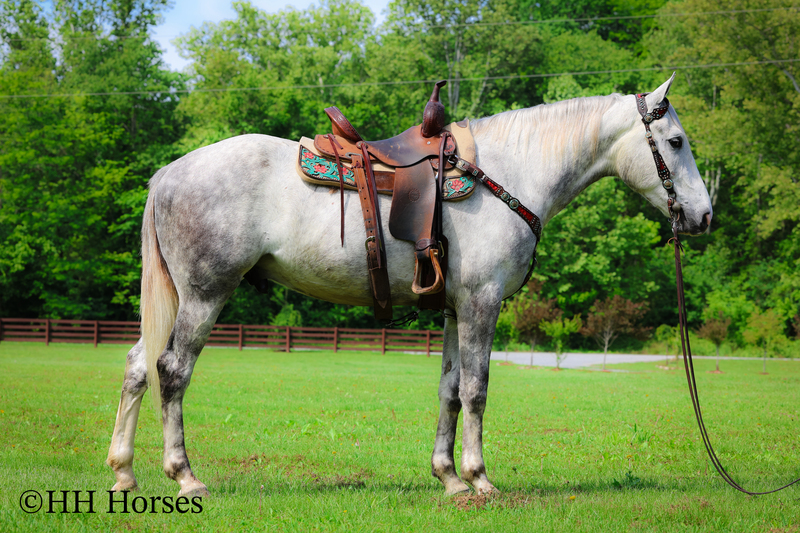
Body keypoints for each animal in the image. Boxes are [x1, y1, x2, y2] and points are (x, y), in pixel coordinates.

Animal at [106, 74, 712, 497]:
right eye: (676, 141)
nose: (704, 216)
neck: (507, 175)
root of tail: (169, 173)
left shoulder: (453, 308)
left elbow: (449, 389)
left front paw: (449, 478)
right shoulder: (481, 303)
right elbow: (477, 389)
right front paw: (480, 478)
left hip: (179, 297)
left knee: (137, 365)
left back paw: (124, 472)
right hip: (205, 293)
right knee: (171, 370)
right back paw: (184, 476)